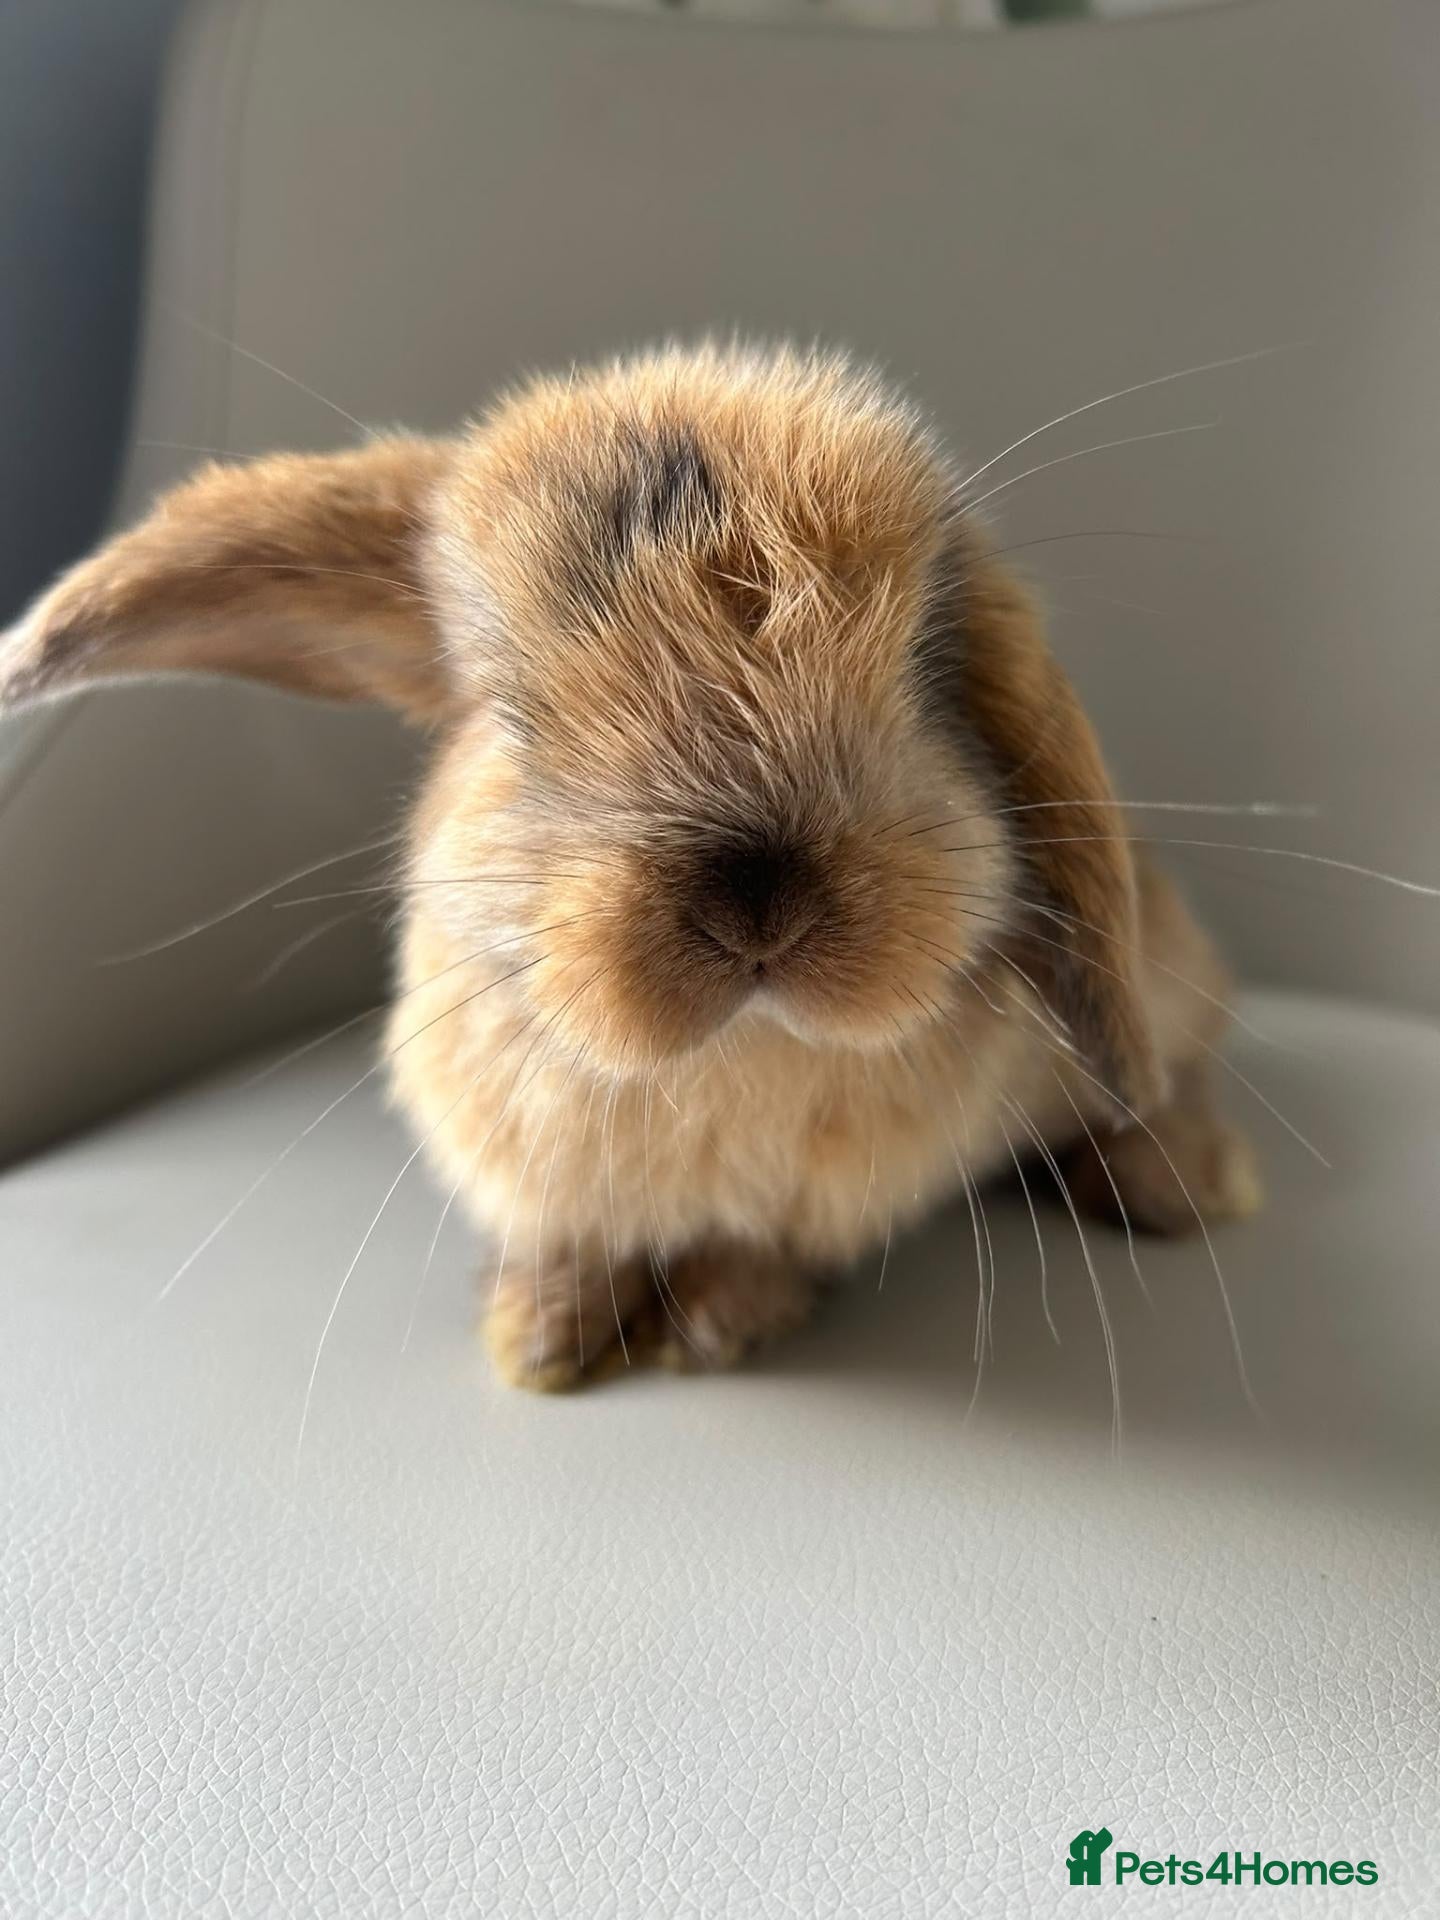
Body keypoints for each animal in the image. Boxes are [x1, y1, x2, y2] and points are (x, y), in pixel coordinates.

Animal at [0, 342, 1261, 1389]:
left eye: (927, 669)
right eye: (509, 713)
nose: (759, 906)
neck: (729, 1058)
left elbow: (758, 1253)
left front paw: (713, 1324)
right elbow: (575, 1252)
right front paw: (539, 1336)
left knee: (1178, 1072)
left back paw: (1185, 1186)